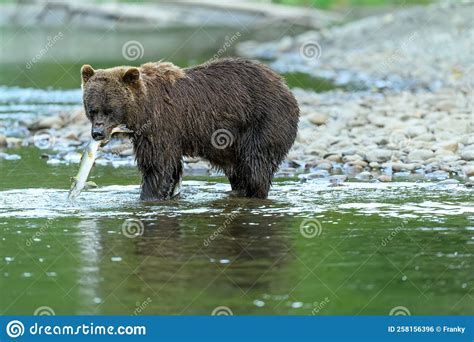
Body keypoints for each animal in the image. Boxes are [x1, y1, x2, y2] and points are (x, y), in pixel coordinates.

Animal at [79, 56, 298, 200]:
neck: (142, 110)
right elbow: (171, 167)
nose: (97, 133)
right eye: (92, 110)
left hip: (263, 121)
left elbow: (157, 166)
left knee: (255, 165)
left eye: (109, 110)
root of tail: (285, 86)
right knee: (238, 171)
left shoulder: (161, 124)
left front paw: (148, 196)